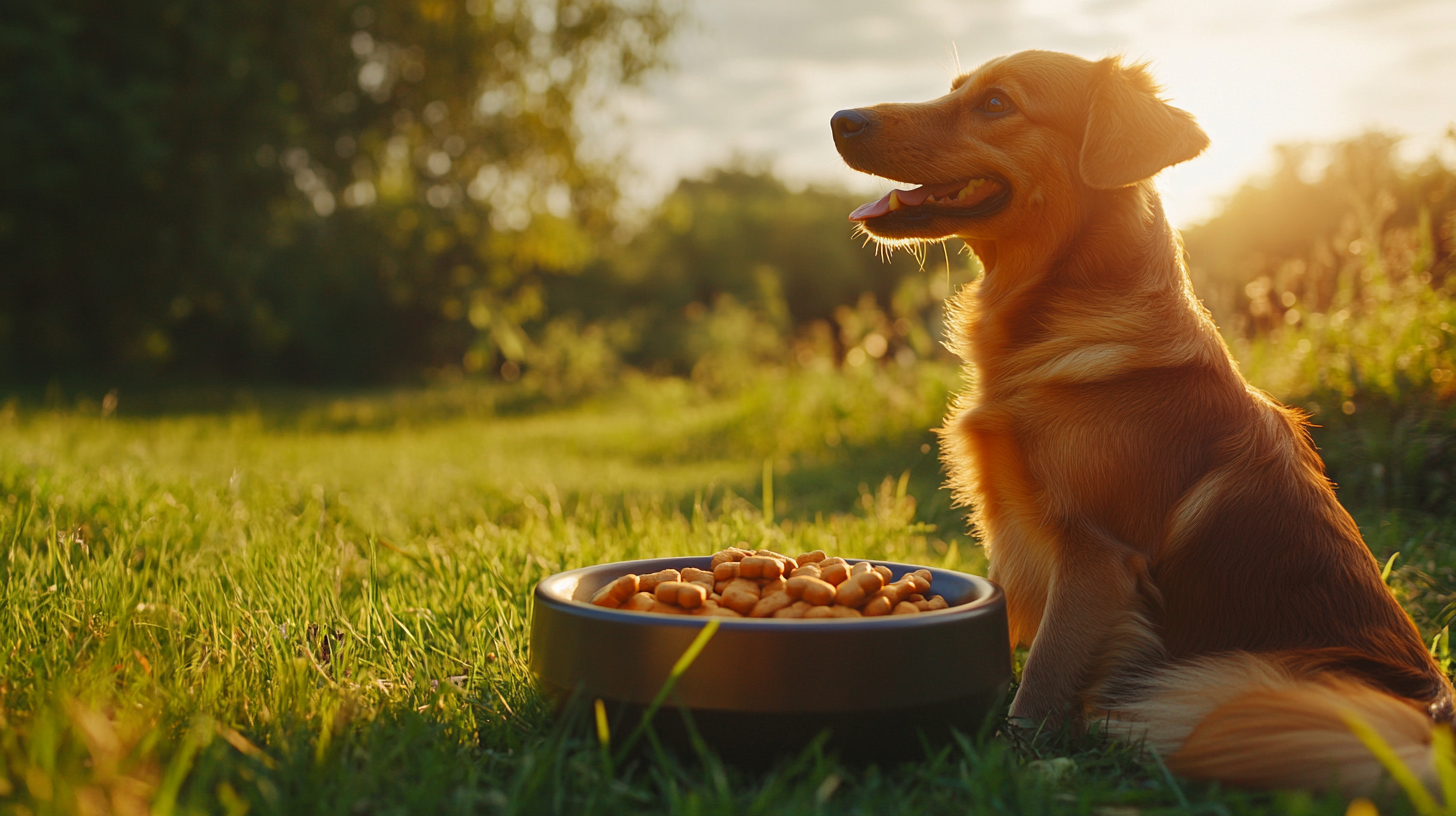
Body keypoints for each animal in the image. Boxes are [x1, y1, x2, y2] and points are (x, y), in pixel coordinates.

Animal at [832, 49, 1456, 792]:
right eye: (957, 90)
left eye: (996, 104)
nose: (841, 119)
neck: (1049, 315)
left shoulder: (1096, 556)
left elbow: (1041, 679)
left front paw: (1012, 760)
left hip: (1231, 681)